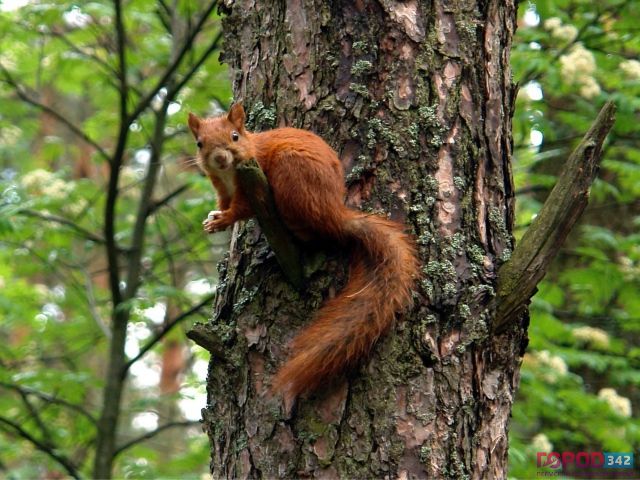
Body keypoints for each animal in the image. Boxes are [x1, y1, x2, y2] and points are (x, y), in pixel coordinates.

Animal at [188, 103, 418, 400]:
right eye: (199, 143)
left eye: (235, 136)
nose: (219, 158)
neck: (229, 173)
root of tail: (336, 215)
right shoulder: (221, 188)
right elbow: (224, 204)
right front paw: (214, 220)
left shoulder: (249, 183)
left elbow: (241, 209)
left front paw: (223, 220)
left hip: (292, 175)